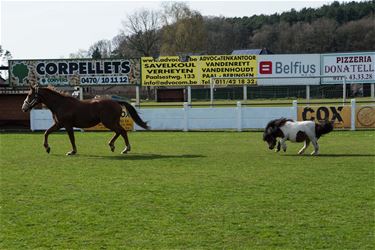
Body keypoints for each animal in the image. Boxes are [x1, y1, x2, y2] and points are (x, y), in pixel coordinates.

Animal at [21, 86, 149, 156]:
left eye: (30, 95)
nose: (23, 108)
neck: (61, 104)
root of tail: (116, 102)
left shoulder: (67, 125)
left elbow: (71, 139)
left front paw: (72, 151)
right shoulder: (58, 124)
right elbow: (46, 132)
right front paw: (47, 148)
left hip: (109, 122)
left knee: (122, 132)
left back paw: (125, 148)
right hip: (112, 122)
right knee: (120, 132)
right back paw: (113, 145)